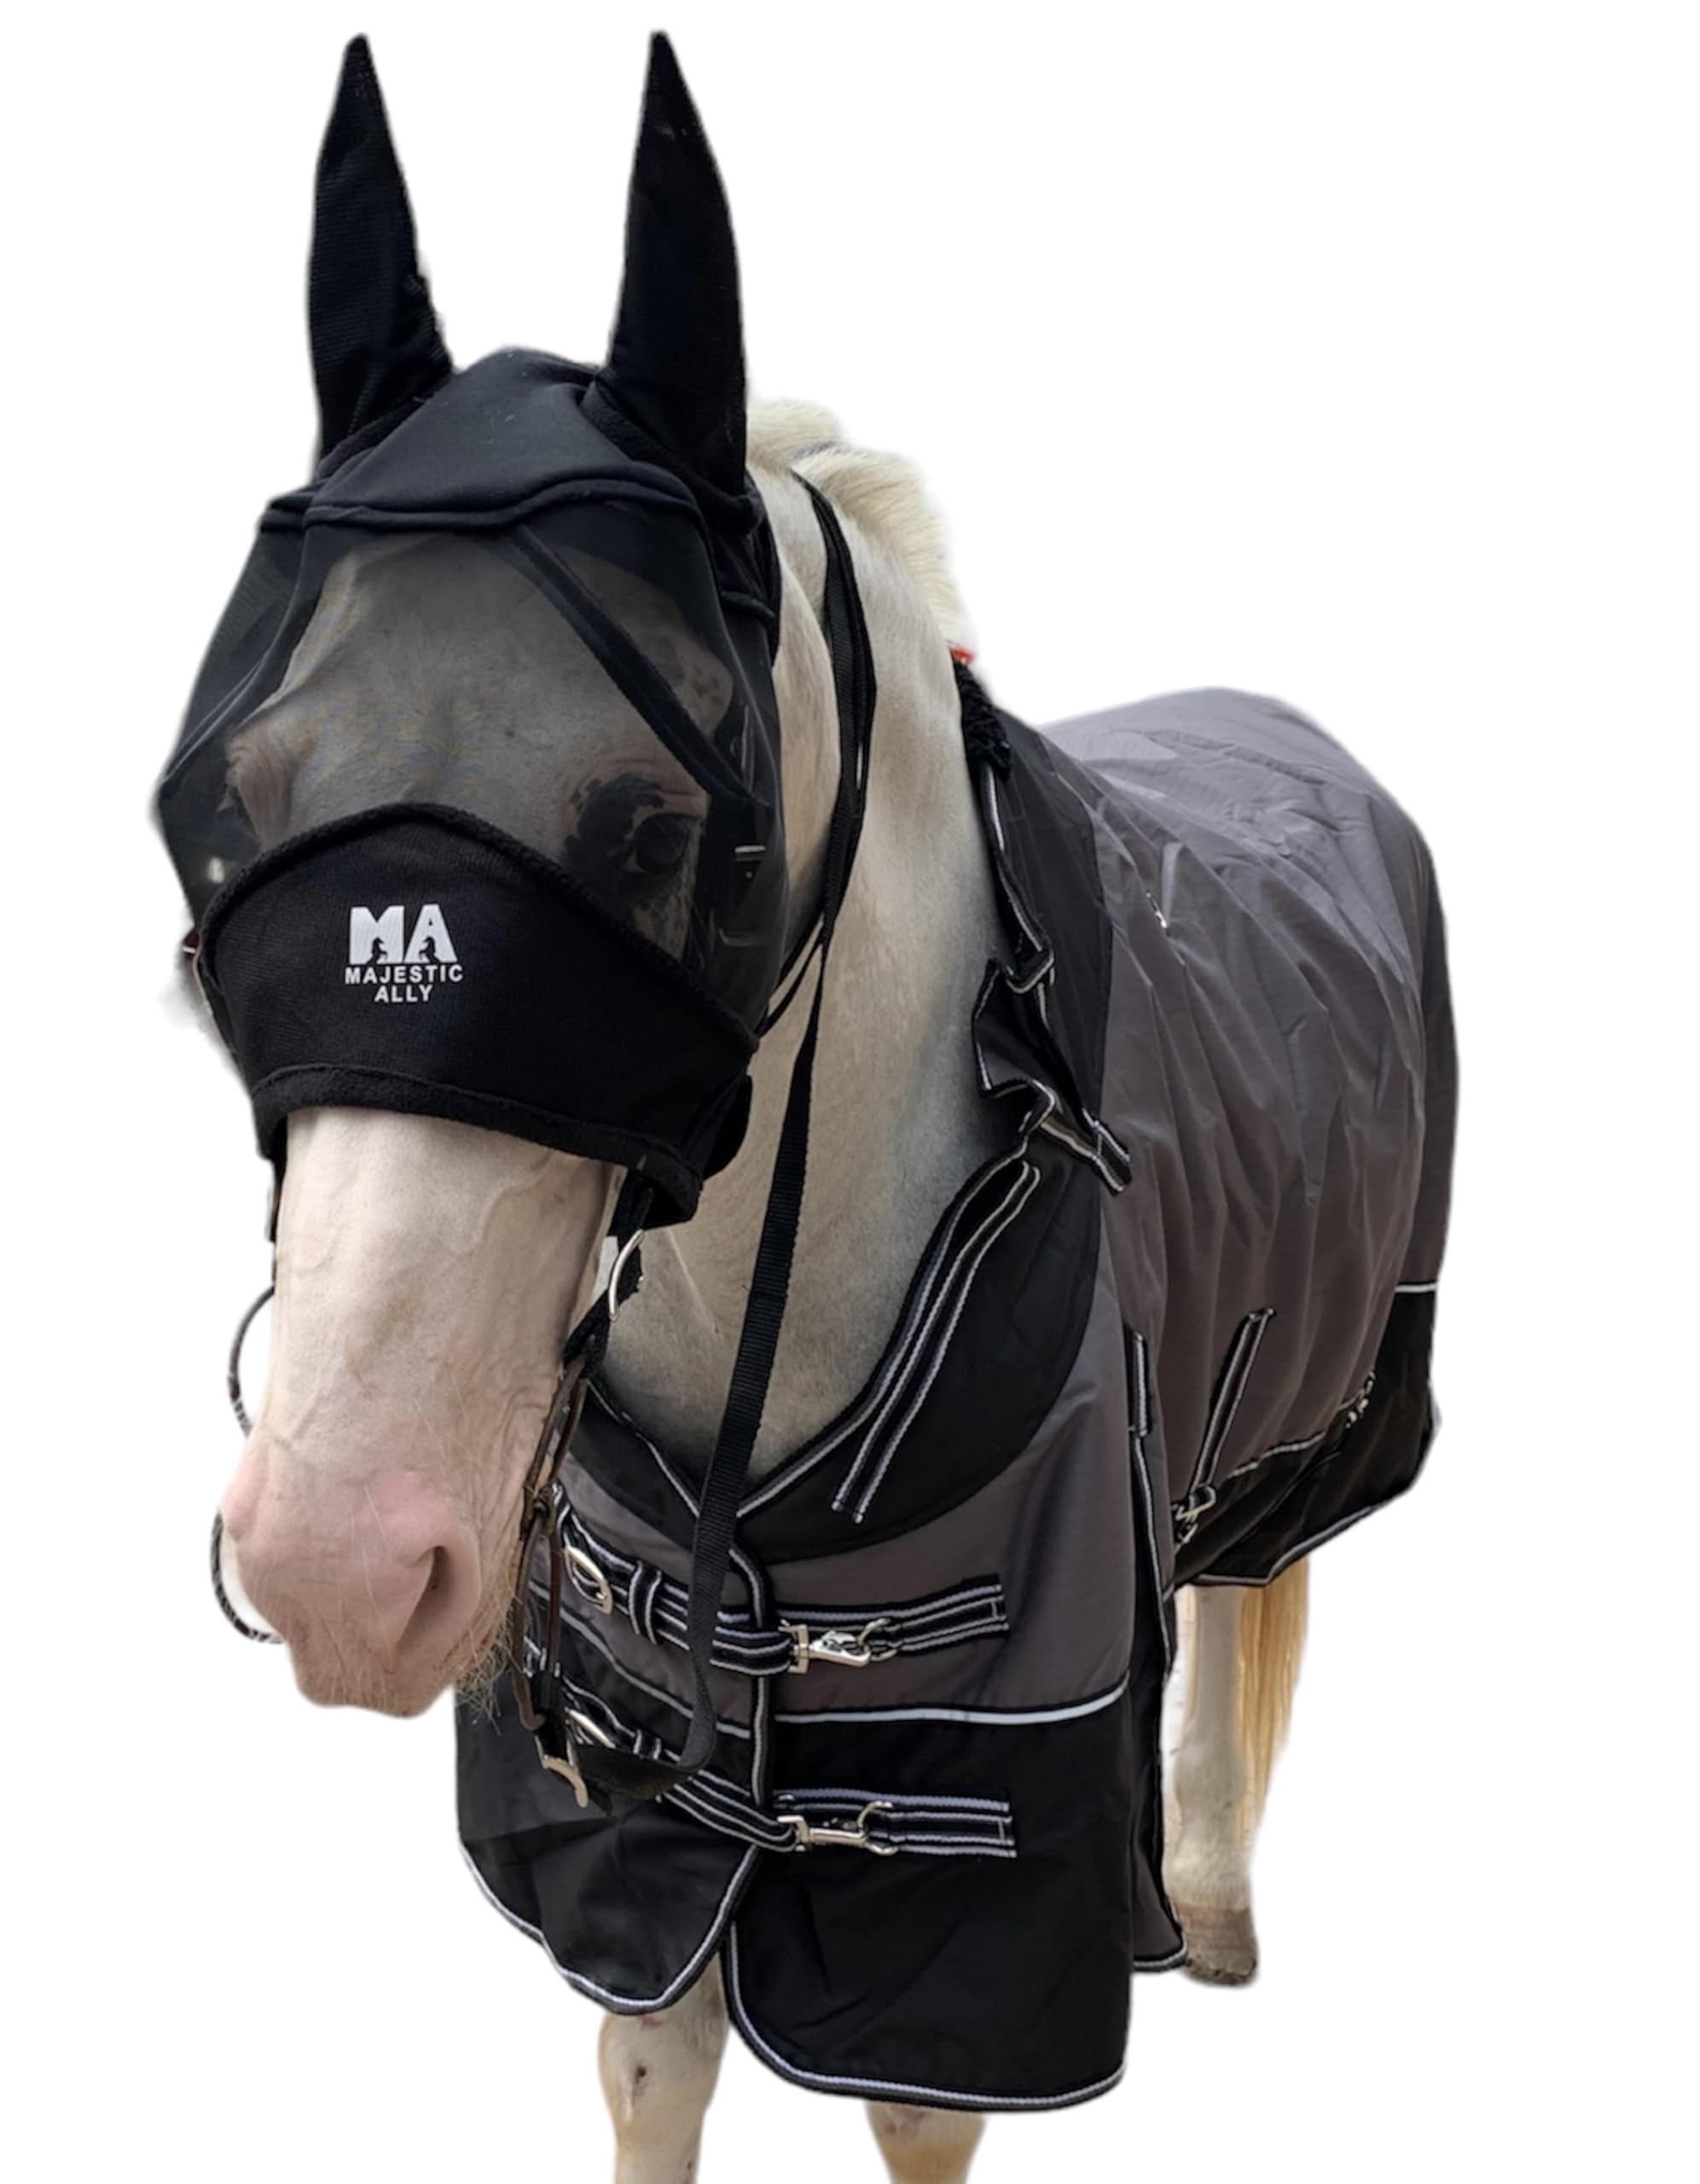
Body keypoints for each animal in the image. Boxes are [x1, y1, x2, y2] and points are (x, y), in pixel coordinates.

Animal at [162, 35, 1451, 2184]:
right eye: (235, 802)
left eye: (677, 828)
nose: (341, 1552)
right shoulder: (635, 1802)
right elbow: (652, 2056)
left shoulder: (969, 1873)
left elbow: (914, 2107)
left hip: (1321, 1394)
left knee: (1254, 1578)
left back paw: (1209, 1891)